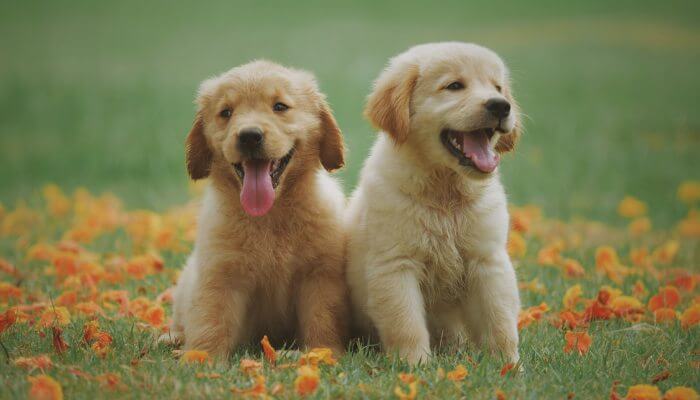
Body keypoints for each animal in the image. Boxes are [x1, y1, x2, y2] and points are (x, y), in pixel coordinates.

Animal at [163, 61, 350, 358]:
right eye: (226, 112)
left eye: (280, 107)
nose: (249, 136)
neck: (269, 217)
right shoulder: (220, 274)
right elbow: (210, 319)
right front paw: (201, 358)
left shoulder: (320, 275)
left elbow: (323, 319)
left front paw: (323, 353)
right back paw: (171, 339)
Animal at [348, 42, 524, 364]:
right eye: (454, 86)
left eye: (497, 87)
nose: (501, 106)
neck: (445, 193)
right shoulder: (396, 265)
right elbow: (405, 323)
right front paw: (414, 364)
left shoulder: (487, 261)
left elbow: (500, 319)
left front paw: (508, 365)